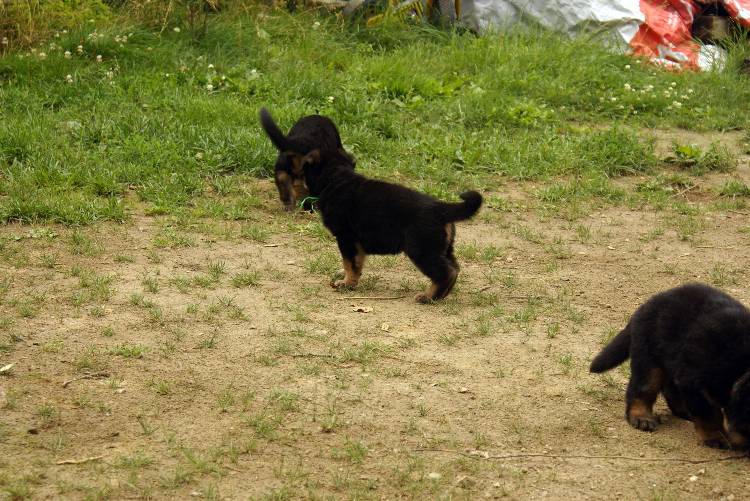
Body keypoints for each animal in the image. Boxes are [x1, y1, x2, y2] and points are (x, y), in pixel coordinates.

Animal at [296, 146, 484, 302]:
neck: (336, 179)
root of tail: (440, 208)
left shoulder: (346, 238)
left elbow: (349, 263)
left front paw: (346, 283)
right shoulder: (356, 243)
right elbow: (356, 263)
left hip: (421, 250)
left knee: (445, 273)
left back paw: (428, 297)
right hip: (443, 249)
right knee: (454, 268)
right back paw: (440, 296)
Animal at [592, 282, 750, 450]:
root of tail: (646, 305)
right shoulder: (694, 382)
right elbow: (709, 416)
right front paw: (715, 437)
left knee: (669, 387)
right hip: (649, 358)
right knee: (642, 389)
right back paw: (641, 417)